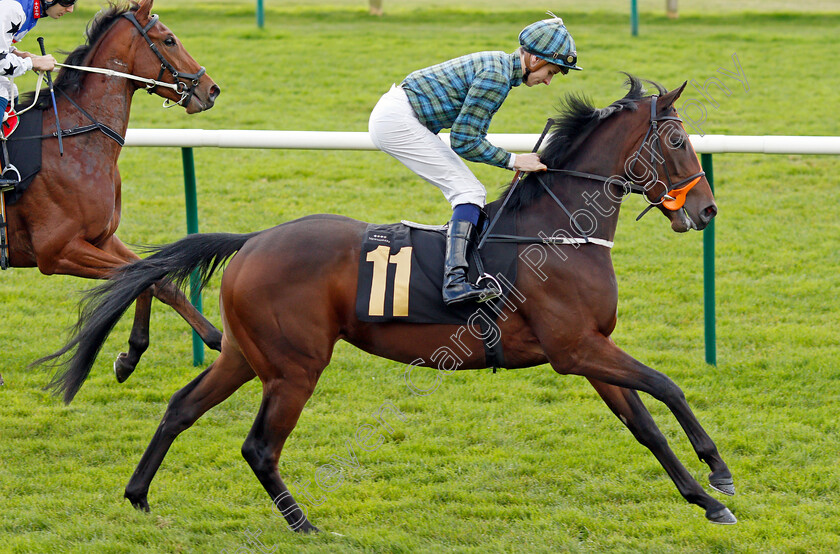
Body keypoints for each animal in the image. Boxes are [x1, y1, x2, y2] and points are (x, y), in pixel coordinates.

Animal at [0, 0, 223, 382]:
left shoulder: (102, 238)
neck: (76, 138)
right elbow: (140, 279)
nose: (210, 89)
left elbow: (153, 278)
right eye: (169, 40)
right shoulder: (56, 252)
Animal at [39, 75, 736, 528]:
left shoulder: (590, 348)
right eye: (677, 141)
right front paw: (720, 472)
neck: (556, 230)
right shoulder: (576, 348)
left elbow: (645, 424)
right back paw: (303, 523)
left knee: (181, 408)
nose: (706, 210)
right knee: (259, 446)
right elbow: (669, 387)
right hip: (294, 367)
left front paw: (707, 501)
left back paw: (138, 495)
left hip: (245, 353)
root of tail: (253, 240)